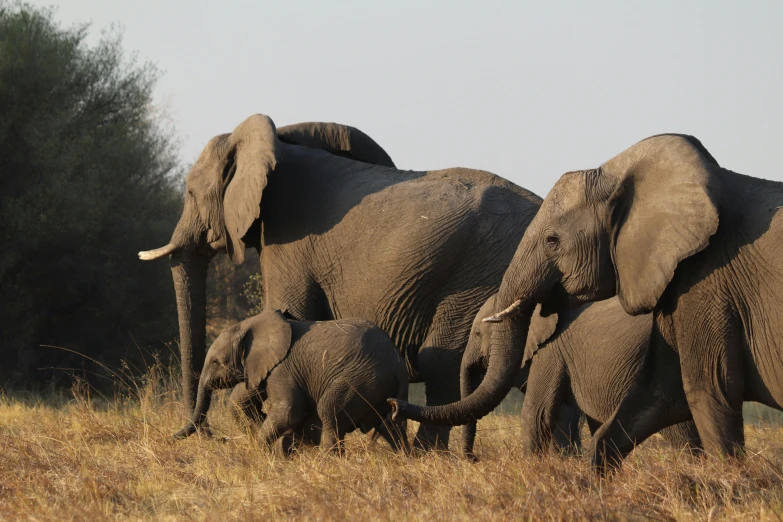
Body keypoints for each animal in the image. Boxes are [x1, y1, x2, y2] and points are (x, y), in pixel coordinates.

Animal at [175, 308, 410, 450]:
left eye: (216, 362)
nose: (171, 438)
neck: (252, 325)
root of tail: (398, 365)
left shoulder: (283, 369)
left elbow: (290, 412)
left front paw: (261, 451)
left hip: (362, 378)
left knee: (329, 410)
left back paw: (328, 460)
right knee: (390, 426)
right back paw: (402, 457)